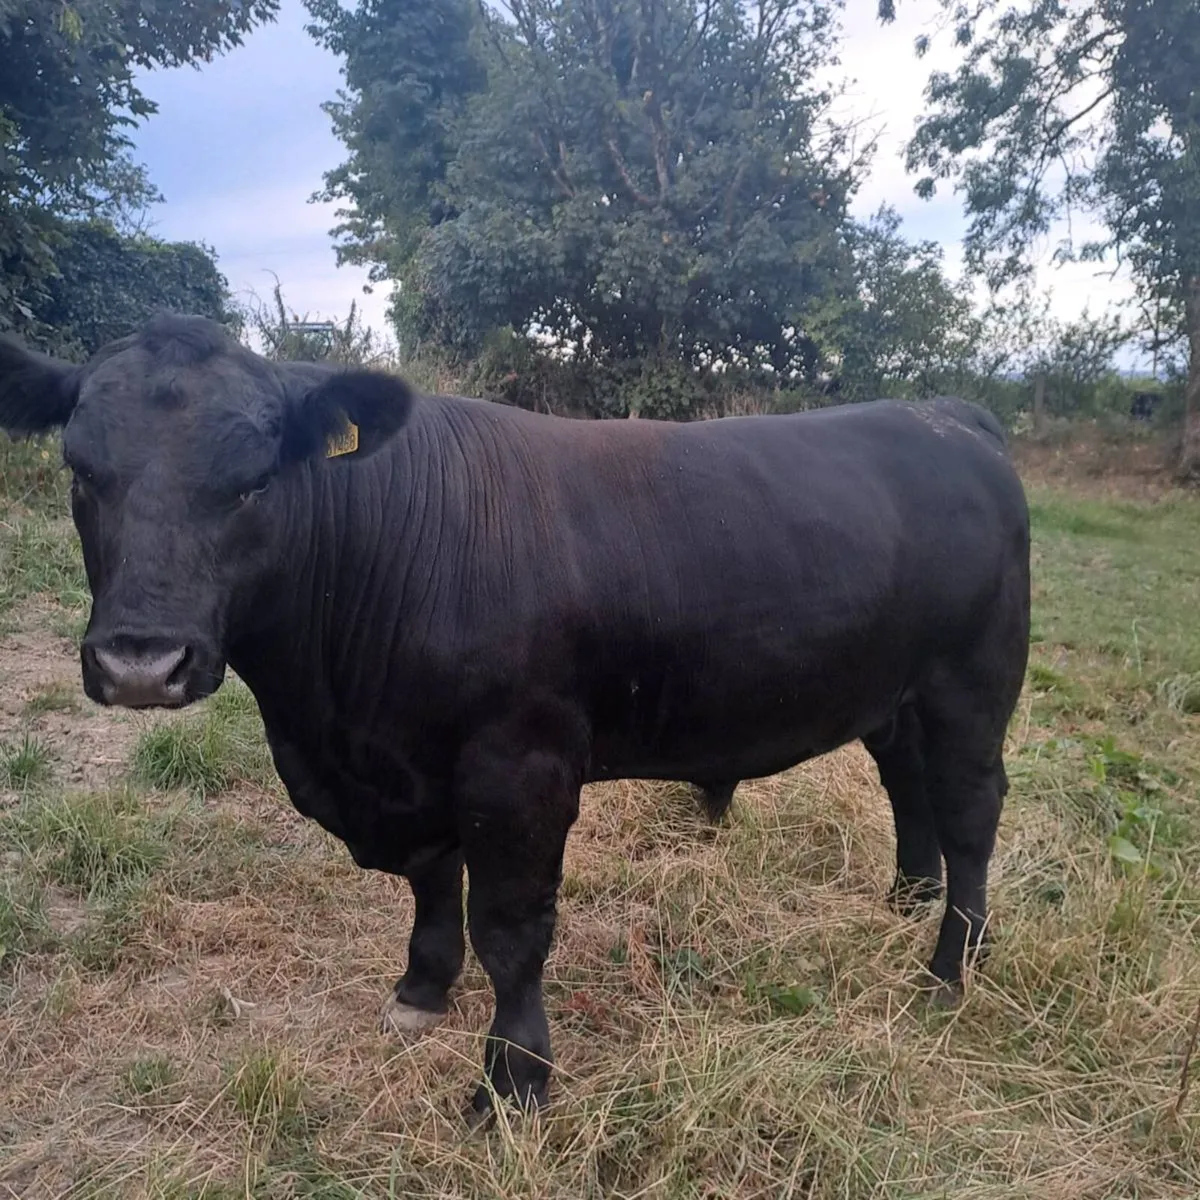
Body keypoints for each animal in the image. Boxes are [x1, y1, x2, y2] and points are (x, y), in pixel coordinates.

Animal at [0, 315, 1031, 1123]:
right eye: (81, 473)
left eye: (254, 481)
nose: (141, 662)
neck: (331, 728)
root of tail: (947, 414)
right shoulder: (413, 769)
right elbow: (430, 881)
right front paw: (421, 989)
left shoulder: (518, 769)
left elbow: (509, 928)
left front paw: (512, 1082)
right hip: (893, 692)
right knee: (908, 786)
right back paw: (907, 899)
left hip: (974, 683)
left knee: (972, 810)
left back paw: (950, 966)